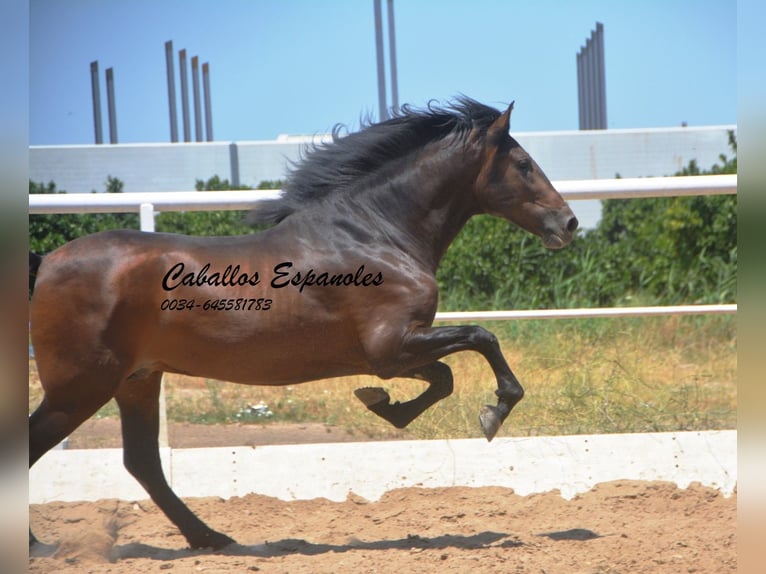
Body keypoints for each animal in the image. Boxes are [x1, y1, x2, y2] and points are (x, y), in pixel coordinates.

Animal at [28, 98, 576, 548]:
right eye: (523, 164)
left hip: (137, 381)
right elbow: (481, 339)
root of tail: (47, 261)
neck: (374, 234)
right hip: (82, 386)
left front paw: (382, 404)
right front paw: (493, 412)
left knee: (142, 462)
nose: (568, 223)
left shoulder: (392, 353)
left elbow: (442, 377)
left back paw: (212, 539)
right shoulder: (391, 347)